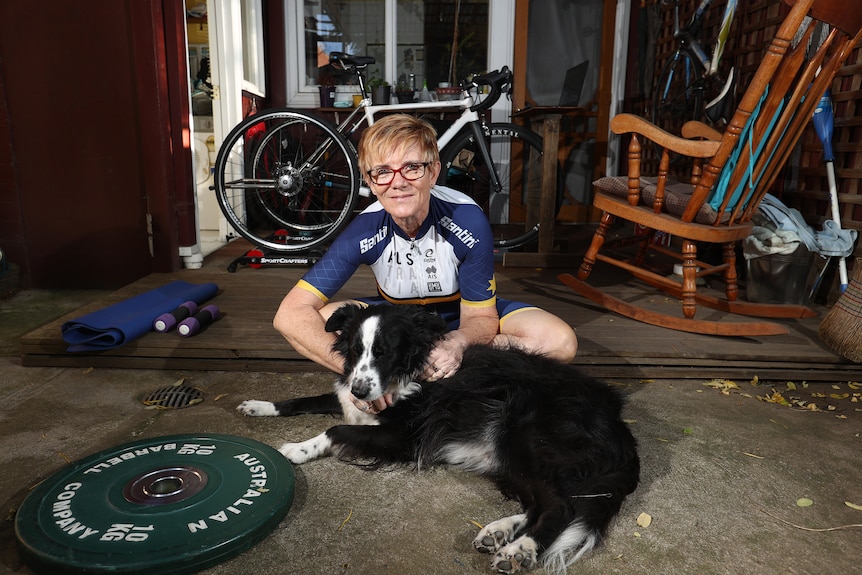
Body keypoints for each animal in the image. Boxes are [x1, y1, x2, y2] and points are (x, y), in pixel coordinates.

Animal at [236, 304, 640, 572]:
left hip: (520, 435)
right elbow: (301, 401)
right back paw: (498, 532)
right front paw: (259, 406)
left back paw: (519, 550)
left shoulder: (403, 436)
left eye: (385, 352)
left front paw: (297, 449)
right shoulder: (350, 397)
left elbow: (335, 430)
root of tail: (619, 425)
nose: (361, 390)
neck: (408, 371)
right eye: (354, 349)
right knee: (537, 502)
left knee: (560, 505)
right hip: (509, 455)